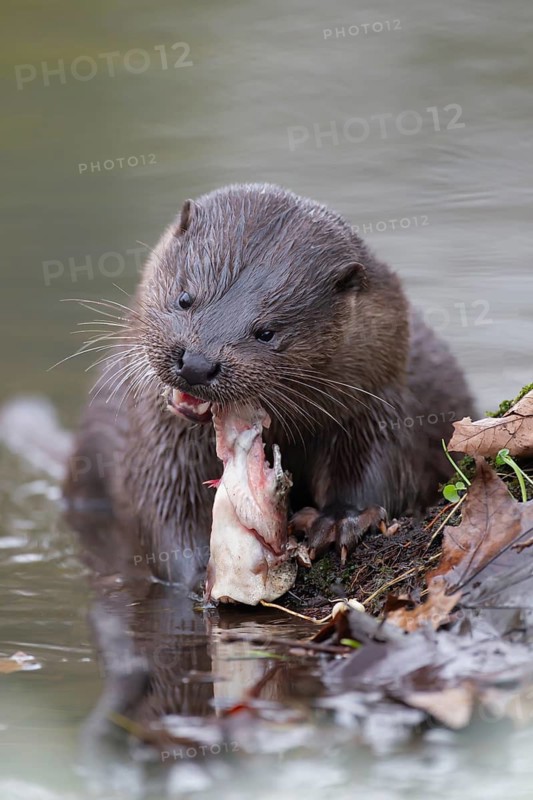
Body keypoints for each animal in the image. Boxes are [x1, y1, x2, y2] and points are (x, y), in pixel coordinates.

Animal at [64, 183, 474, 586]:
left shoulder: (377, 399)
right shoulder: (159, 445)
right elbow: (165, 509)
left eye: (266, 332)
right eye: (184, 298)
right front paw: (196, 573)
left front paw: (341, 519)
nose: (197, 363)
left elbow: (378, 471)